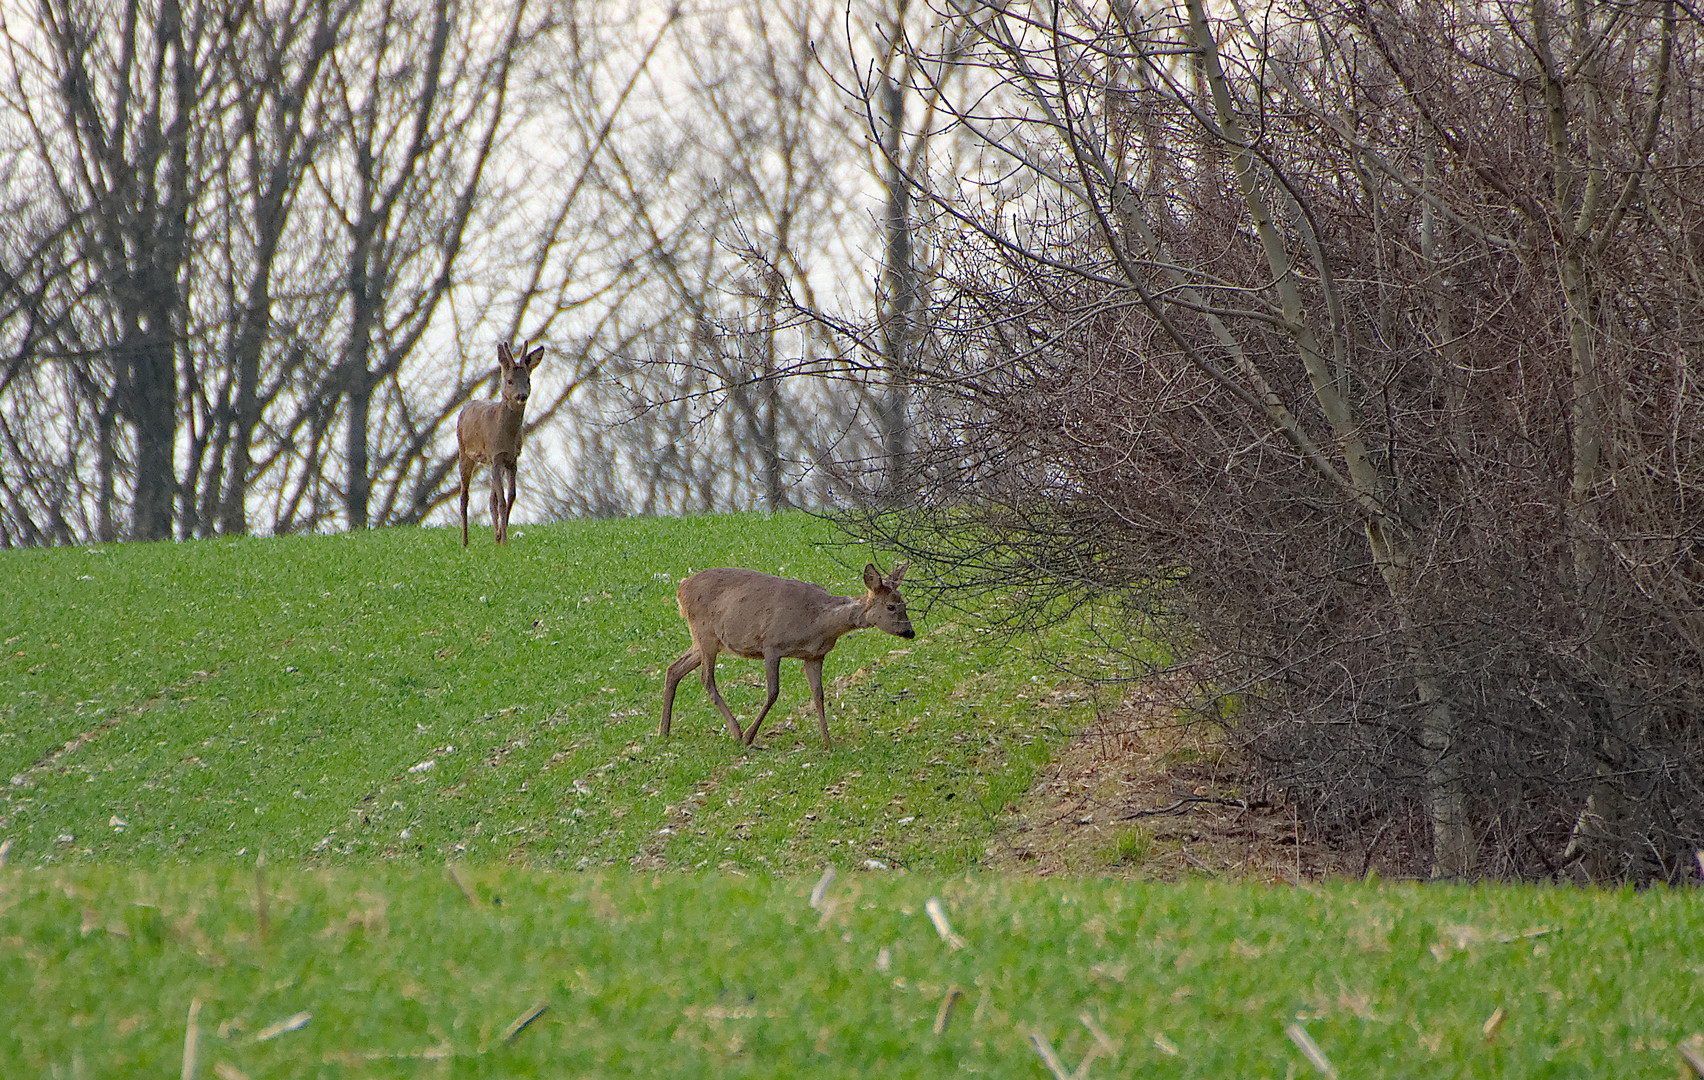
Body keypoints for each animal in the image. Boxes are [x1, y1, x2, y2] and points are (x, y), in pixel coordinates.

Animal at [456, 342, 541, 545]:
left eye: (528, 379)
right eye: (509, 381)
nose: (521, 395)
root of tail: (465, 407)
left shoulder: (511, 459)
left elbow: (510, 496)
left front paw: (501, 535)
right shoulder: (495, 456)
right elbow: (502, 500)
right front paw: (504, 540)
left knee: (490, 499)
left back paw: (494, 535)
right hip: (464, 452)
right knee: (464, 496)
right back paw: (465, 542)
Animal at [661, 558, 920, 742]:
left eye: (905, 604)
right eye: (891, 606)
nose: (910, 632)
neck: (817, 623)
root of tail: (681, 588)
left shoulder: (815, 656)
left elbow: (818, 694)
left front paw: (827, 741)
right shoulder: (771, 645)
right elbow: (773, 692)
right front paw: (749, 736)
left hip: (703, 641)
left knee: (674, 668)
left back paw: (663, 731)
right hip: (705, 633)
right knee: (706, 679)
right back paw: (736, 732)